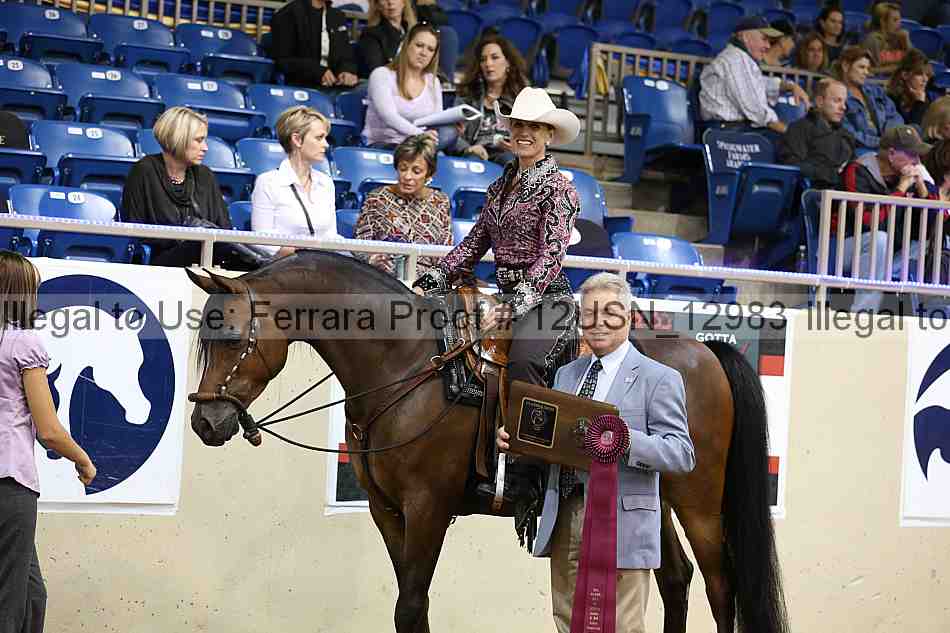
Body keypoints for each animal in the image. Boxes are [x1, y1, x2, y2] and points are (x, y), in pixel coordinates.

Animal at [186, 250, 788, 633]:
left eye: (232, 336)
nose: (206, 423)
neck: (408, 364)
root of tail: (705, 349)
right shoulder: (386, 509)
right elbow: (412, 604)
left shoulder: (428, 507)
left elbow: (410, 606)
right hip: (647, 501)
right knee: (675, 580)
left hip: (699, 499)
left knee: (720, 584)